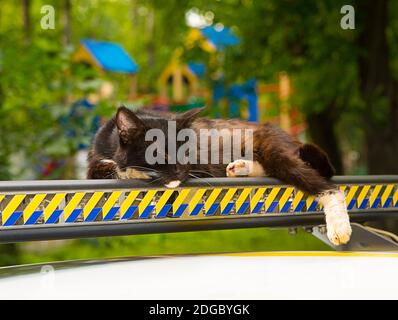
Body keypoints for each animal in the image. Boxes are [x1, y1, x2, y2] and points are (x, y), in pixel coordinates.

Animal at [88, 107, 352, 245]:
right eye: (158, 152)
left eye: (186, 150)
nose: (179, 170)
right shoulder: (94, 162)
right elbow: (102, 167)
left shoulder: (201, 166)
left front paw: (134, 170)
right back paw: (240, 167)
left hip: (273, 148)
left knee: (328, 187)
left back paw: (339, 227)